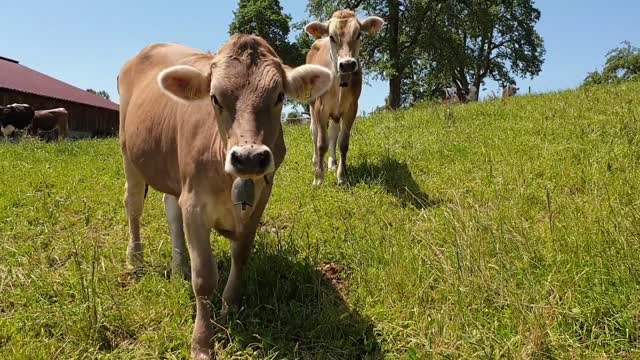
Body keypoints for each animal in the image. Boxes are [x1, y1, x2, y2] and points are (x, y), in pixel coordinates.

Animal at [117, 34, 332, 360]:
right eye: (215, 98)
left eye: (279, 96)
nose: (249, 157)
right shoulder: (194, 203)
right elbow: (204, 278)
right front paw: (202, 342)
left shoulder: (259, 201)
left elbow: (240, 256)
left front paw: (229, 309)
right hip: (130, 156)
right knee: (133, 207)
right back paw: (136, 259)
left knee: (171, 211)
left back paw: (179, 266)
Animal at [302, 10, 382, 186]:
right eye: (332, 37)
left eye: (358, 34)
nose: (347, 64)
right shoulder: (320, 108)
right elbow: (321, 144)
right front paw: (318, 178)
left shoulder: (351, 108)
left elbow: (343, 143)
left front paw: (342, 176)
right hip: (312, 105)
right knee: (314, 132)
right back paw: (315, 162)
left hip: (336, 113)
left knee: (333, 133)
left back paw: (332, 163)